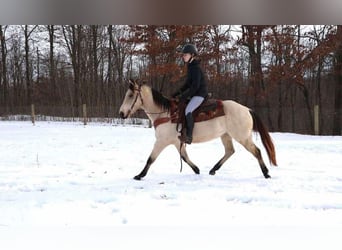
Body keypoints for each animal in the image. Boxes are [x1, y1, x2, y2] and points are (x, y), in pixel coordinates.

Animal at [119, 79, 276, 180]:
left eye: (131, 95)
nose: (121, 113)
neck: (166, 114)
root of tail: (247, 109)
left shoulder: (161, 141)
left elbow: (150, 159)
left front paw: (139, 175)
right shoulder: (177, 142)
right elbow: (184, 157)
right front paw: (197, 169)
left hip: (242, 137)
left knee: (256, 151)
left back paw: (266, 173)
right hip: (226, 135)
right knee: (230, 151)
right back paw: (213, 170)